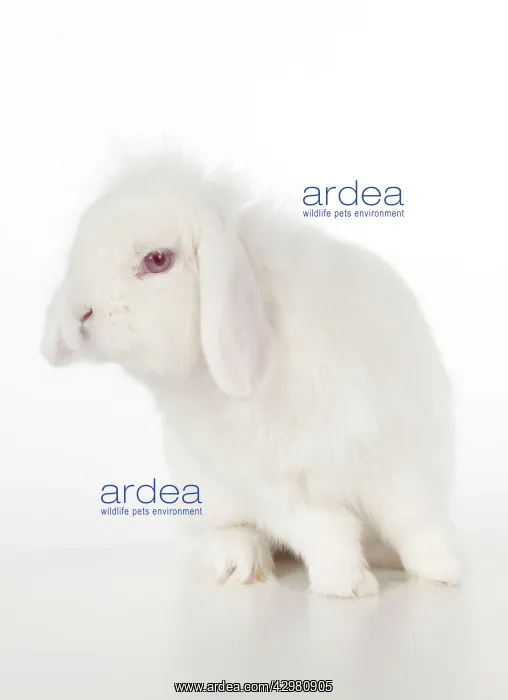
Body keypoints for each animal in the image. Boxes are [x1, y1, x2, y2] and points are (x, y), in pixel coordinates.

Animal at [41, 152, 461, 597]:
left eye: (157, 260)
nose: (80, 312)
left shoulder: (396, 455)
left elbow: (414, 521)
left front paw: (442, 573)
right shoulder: (274, 489)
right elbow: (327, 533)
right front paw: (348, 585)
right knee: (228, 532)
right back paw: (241, 564)